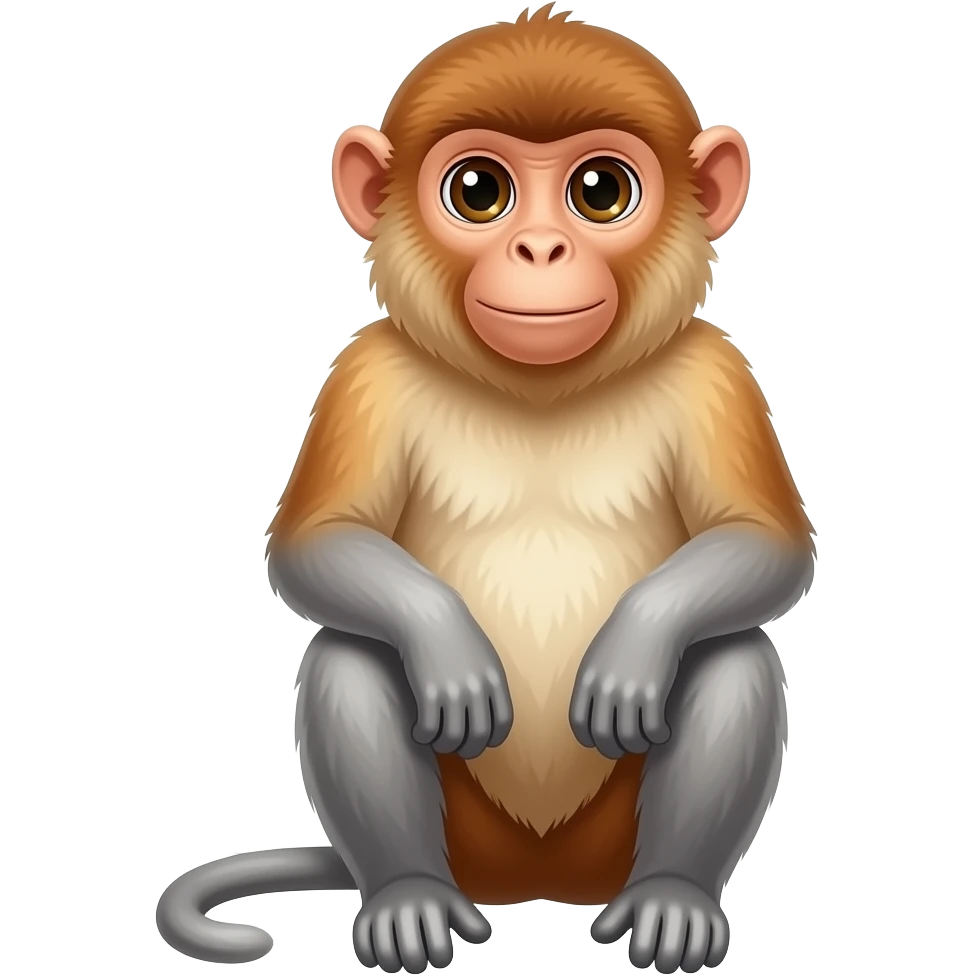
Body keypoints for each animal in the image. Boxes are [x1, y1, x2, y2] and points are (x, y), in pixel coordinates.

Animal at [154, 6, 815, 973]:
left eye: (600, 191)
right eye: (478, 190)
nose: (539, 249)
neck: (539, 391)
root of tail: (533, 881)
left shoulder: (717, 374)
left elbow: (764, 546)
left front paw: (636, 641)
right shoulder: (364, 373)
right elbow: (316, 546)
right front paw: (445, 641)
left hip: (603, 842)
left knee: (730, 649)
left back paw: (673, 894)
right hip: (470, 838)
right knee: (352, 649)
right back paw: (408, 895)